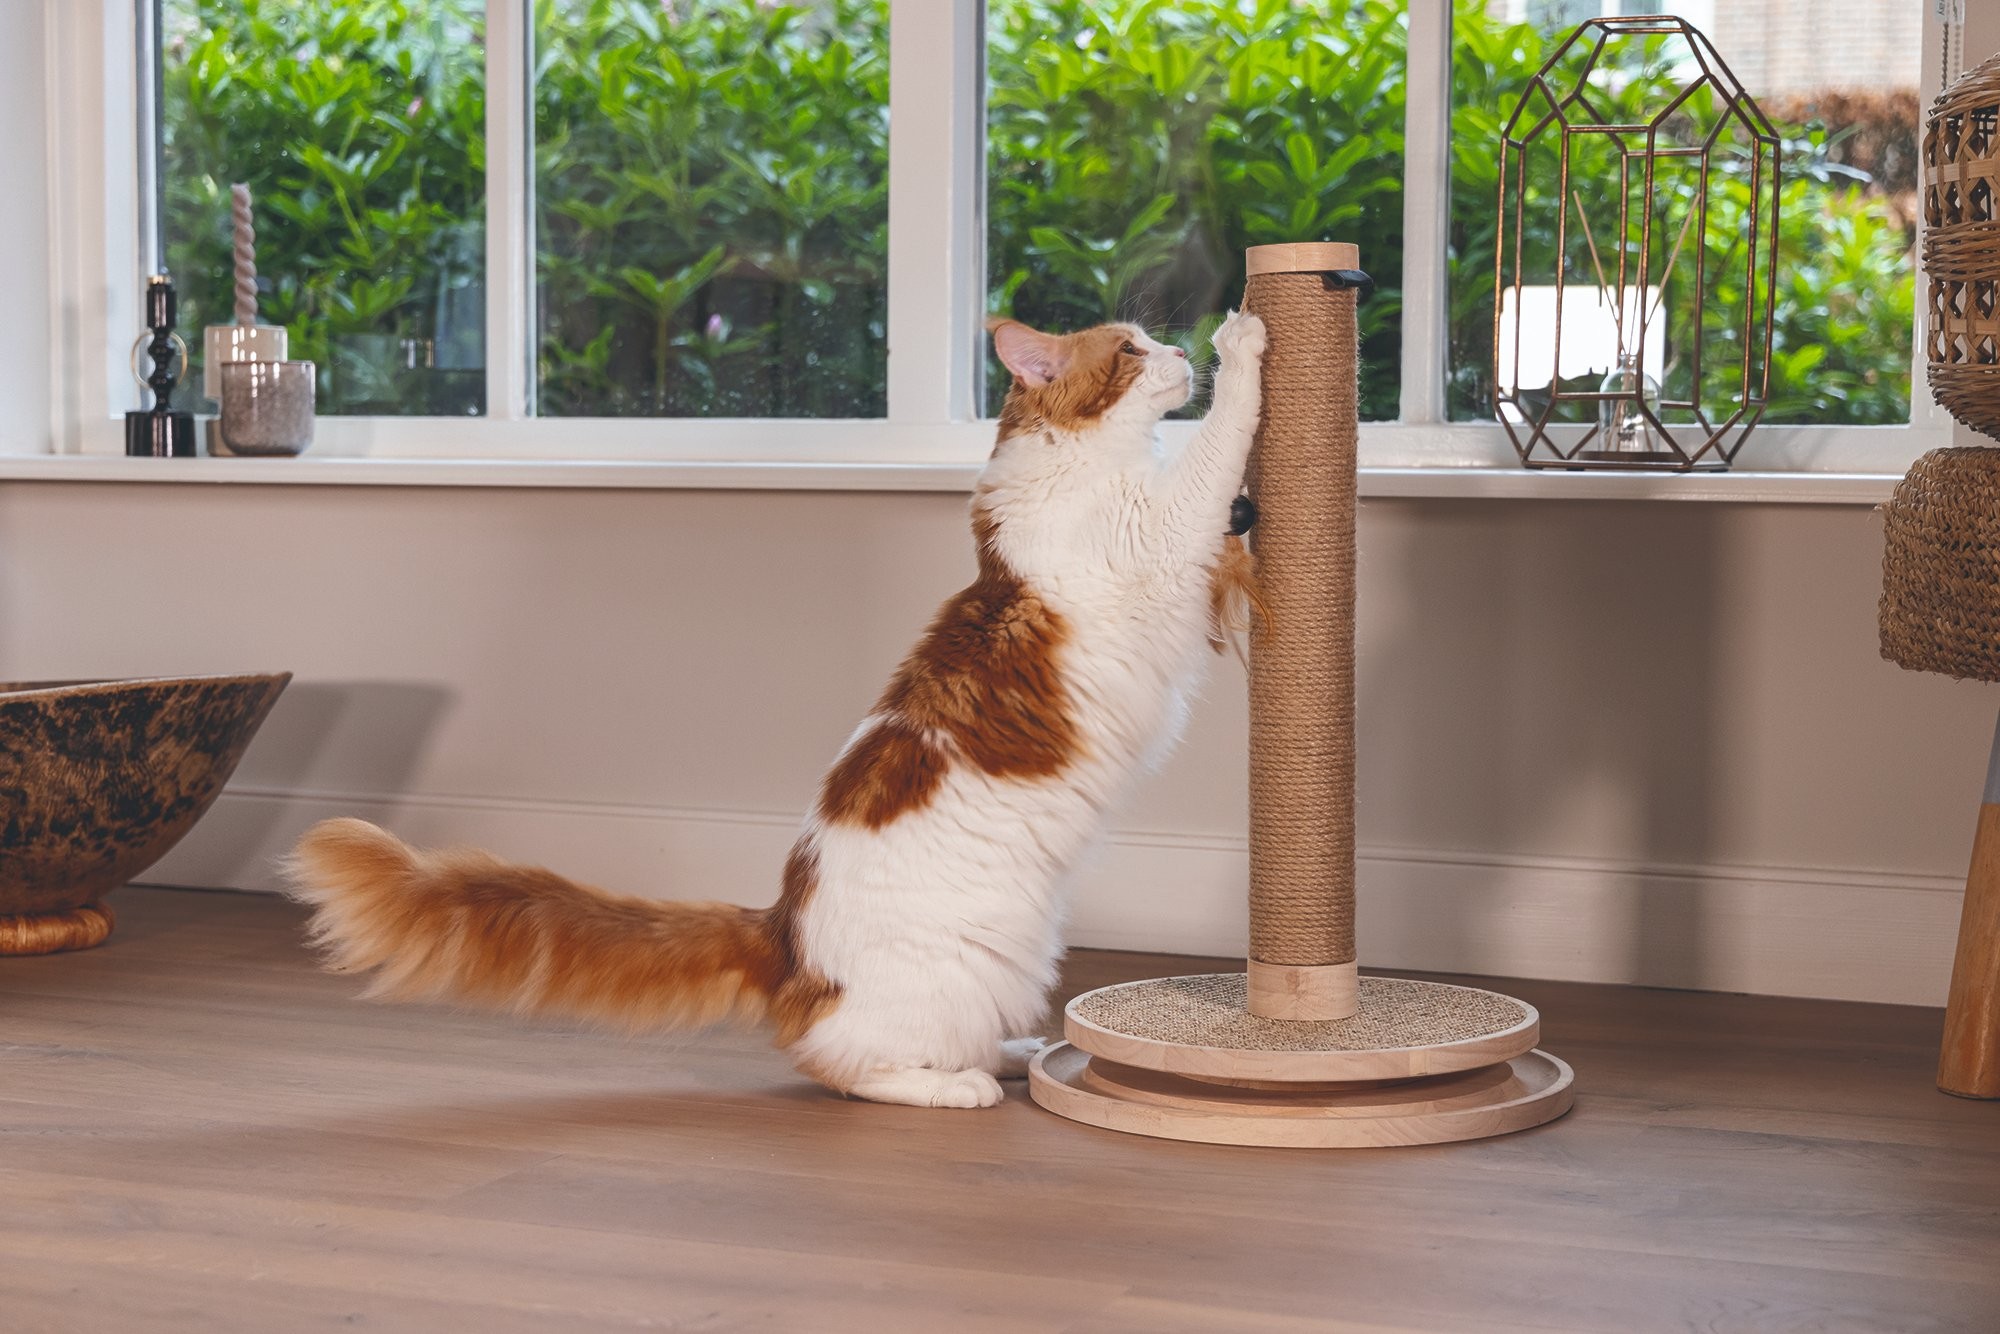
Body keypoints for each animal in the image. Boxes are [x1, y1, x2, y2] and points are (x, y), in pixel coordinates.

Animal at [284, 307, 1268, 1109]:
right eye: (1133, 351)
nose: (1180, 350)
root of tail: (784, 934)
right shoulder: (1163, 530)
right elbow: (1217, 441)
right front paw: (1244, 338)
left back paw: (1015, 1052)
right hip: (962, 974)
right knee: (837, 1058)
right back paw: (957, 1085)